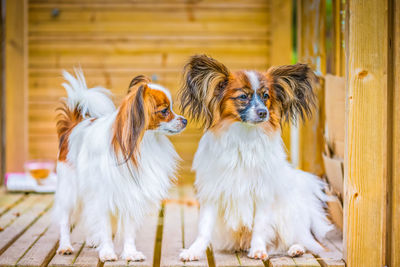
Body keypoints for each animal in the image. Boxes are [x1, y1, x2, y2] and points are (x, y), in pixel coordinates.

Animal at [52, 68, 188, 262]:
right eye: (164, 110)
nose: (184, 120)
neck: (142, 143)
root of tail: (72, 127)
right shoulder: (103, 197)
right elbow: (105, 227)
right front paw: (108, 252)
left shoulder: (131, 193)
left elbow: (129, 231)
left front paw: (130, 253)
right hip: (69, 191)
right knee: (65, 220)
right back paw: (65, 246)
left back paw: (92, 240)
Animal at [178, 55, 332, 262]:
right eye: (243, 97)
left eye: (266, 96)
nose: (263, 113)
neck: (244, 135)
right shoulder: (213, 191)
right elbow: (204, 227)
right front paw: (194, 251)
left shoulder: (262, 194)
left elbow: (260, 225)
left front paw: (258, 250)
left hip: (288, 217)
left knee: (304, 241)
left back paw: (296, 248)